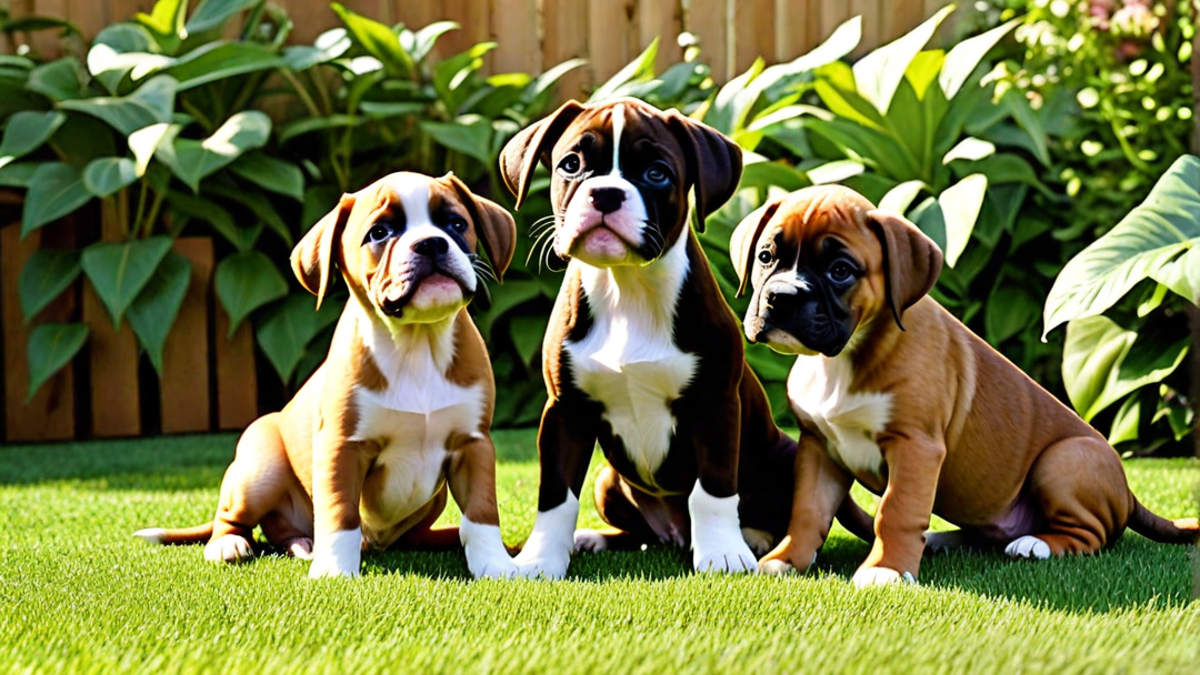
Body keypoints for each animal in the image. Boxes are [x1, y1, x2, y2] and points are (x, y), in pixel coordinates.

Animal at [137, 170, 520, 576]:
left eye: (456, 224)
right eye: (379, 233)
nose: (431, 243)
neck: (416, 343)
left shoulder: (473, 445)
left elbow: (481, 514)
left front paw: (495, 565)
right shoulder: (341, 446)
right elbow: (340, 515)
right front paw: (334, 571)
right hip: (258, 472)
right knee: (233, 518)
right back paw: (232, 545)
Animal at [496, 97, 873, 576]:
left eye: (657, 173)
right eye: (571, 164)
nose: (606, 193)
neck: (627, 288)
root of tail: (675, 534)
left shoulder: (714, 405)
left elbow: (713, 489)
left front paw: (723, 553)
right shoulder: (565, 410)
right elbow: (556, 494)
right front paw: (542, 558)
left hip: (787, 457)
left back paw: (751, 538)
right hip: (607, 479)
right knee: (640, 532)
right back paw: (595, 539)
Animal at [729, 183, 1200, 583]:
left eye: (841, 271)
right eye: (767, 257)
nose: (782, 297)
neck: (845, 356)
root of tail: (1128, 492)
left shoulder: (915, 447)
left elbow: (896, 510)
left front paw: (886, 569)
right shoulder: (819, 446)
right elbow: (808, 510)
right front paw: (785, 560)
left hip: (1066, 459)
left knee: (1092, 534)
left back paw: (1036, 544)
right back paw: (943, 540)